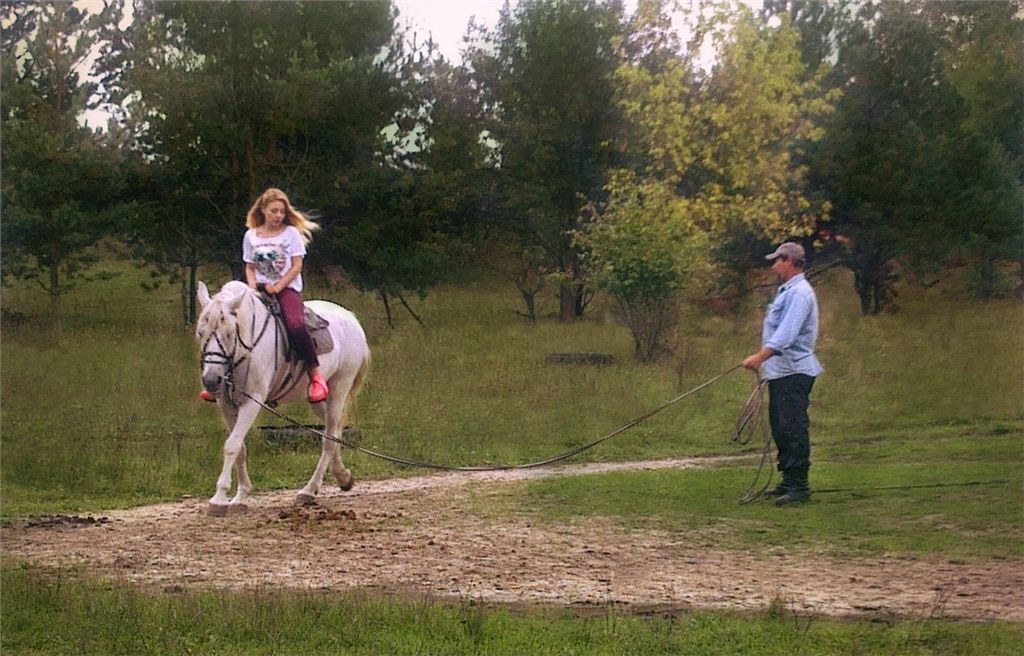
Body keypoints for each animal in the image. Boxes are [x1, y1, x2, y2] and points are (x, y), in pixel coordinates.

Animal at [193, 278, 370, 513]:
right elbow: (239, 447)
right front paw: (240, 497)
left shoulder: (252, 401)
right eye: (200, 333)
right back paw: (343, 477)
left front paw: (219, 498)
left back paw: (308, 491)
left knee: (328, 440)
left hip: (340, 387)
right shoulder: (226, 404)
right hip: (319, 400)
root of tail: (351, 318)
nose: (212, 381)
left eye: (230, 333)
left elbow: (231, 446)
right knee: (335, 431)